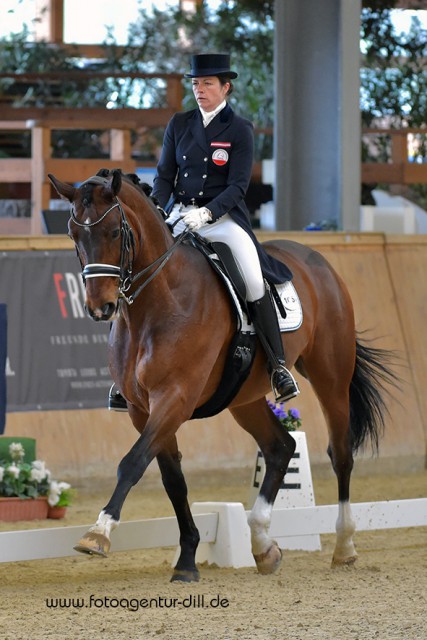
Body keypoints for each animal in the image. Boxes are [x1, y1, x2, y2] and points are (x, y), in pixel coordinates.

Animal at [49, 168, 394, 584]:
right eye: (73, 233)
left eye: (116, 232)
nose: (100, 307)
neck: (156, 304)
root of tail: (318, 262)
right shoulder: (141, 409)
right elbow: (171, 479)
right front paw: (187, 559)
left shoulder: (175, 398)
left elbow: (131, 463)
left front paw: (98, 533)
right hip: (243, 398)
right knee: (281, 447)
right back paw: (263, 546)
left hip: (331, 378)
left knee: (340, 454)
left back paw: (344, 546)